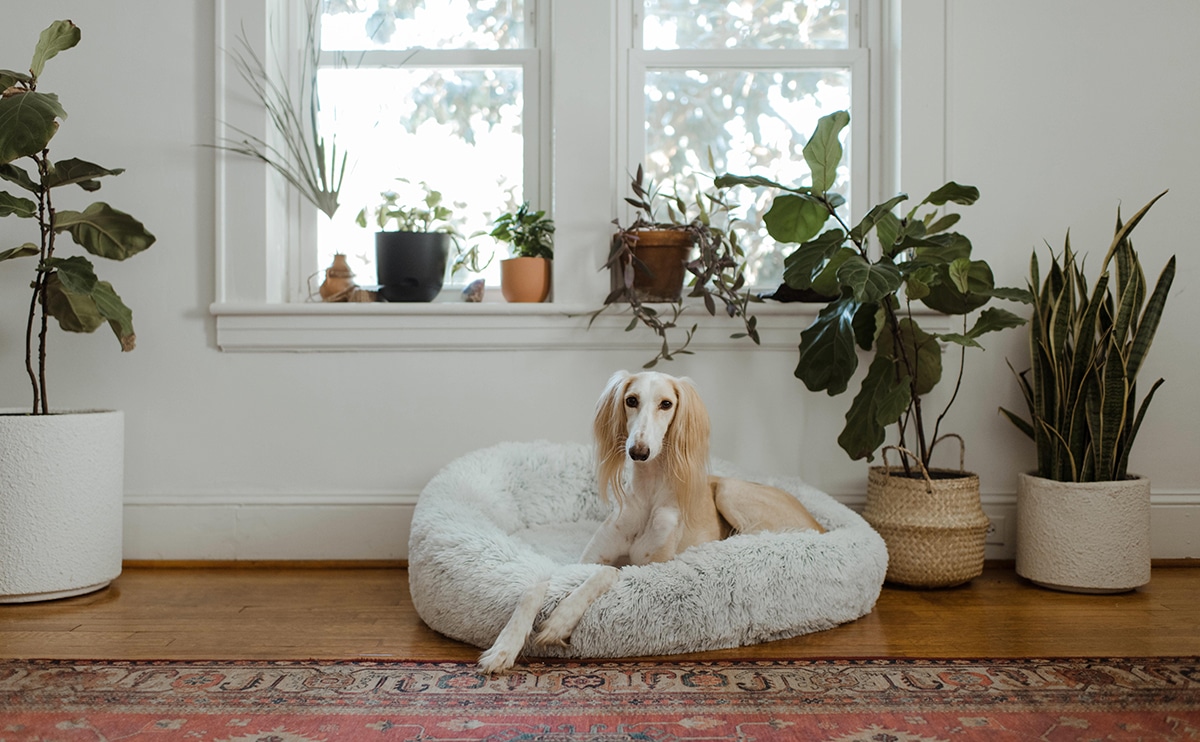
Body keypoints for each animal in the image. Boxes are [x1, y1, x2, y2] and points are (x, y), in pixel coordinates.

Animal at [477, 367, 825, 672]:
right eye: (631, 400)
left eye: (666, 404)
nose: (639, 451)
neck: (647, 498)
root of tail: (820, 525)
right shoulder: (582, 562)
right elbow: (536, 586)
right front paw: (504, 647)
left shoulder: (651, 568)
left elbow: (608, 572)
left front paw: (560, 621)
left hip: (729, 491)